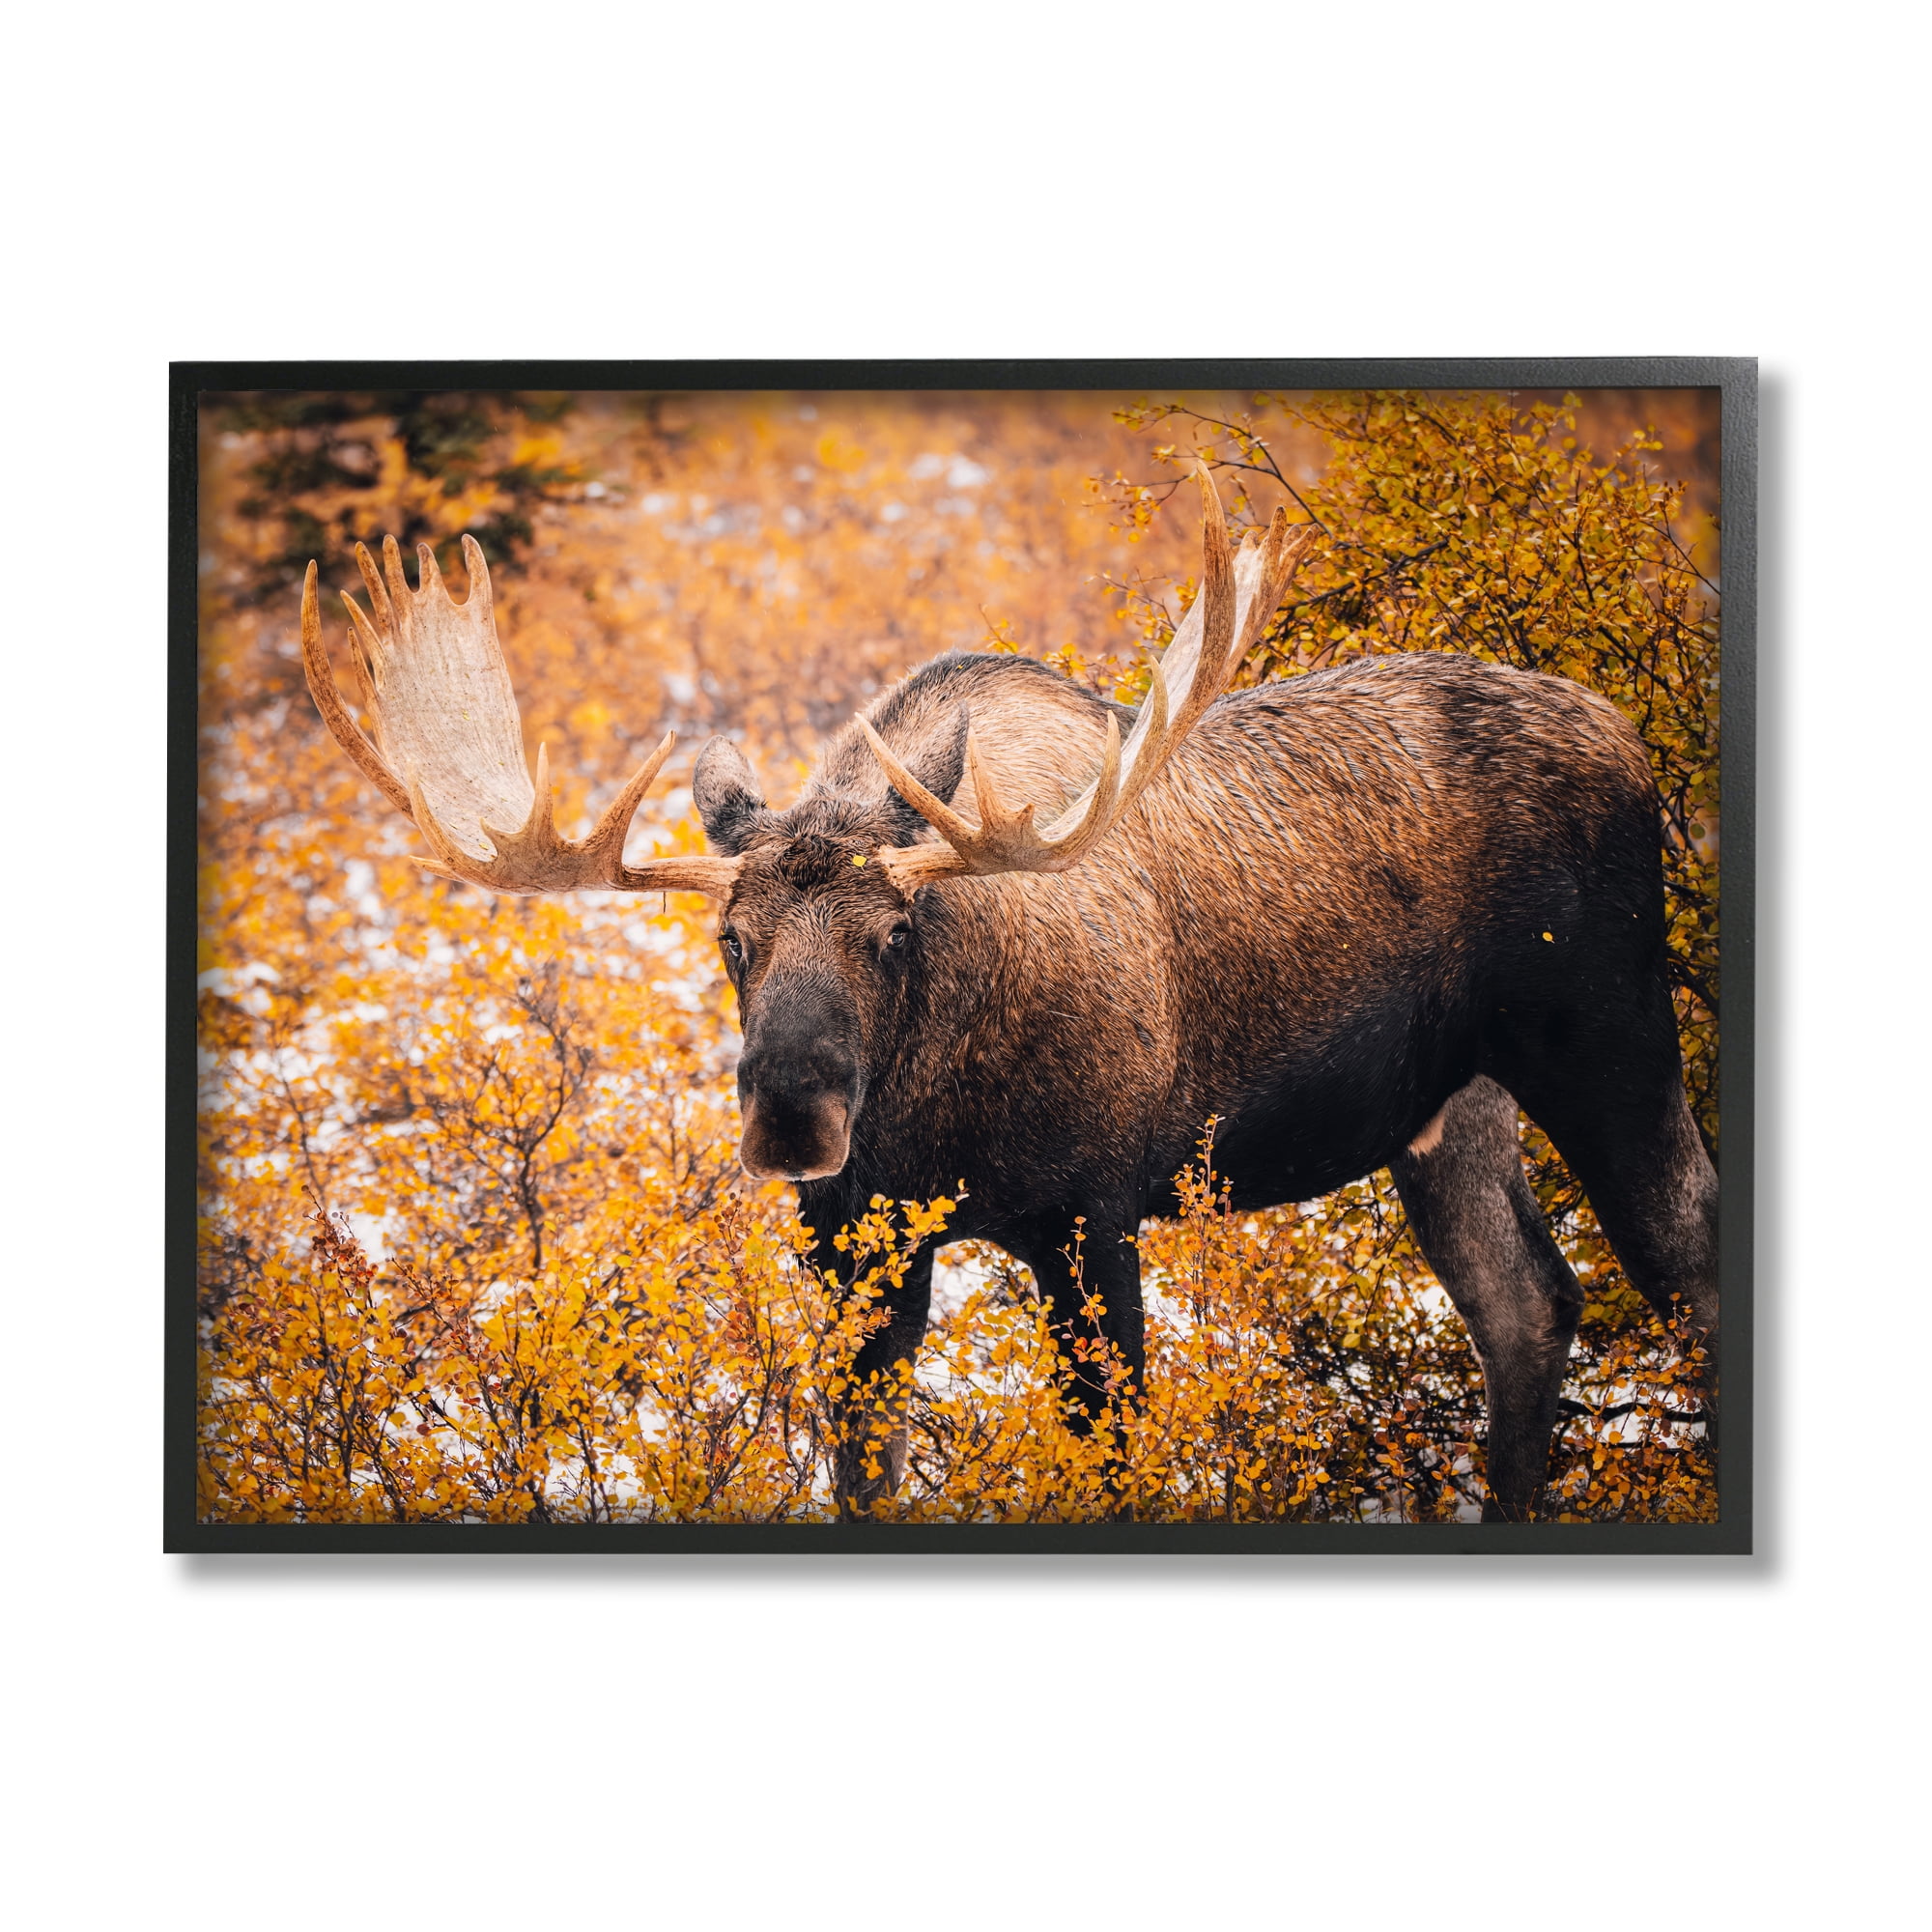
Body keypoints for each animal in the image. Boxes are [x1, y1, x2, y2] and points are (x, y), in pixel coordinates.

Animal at [300, 470, 1719, 1521]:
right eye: (732, 938)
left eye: (893, 931)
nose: (792, 1115)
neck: (932, 1121)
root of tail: (1628, 731)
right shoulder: (853, 1251)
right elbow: (864, 1474)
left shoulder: (1094, 1216)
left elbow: (1112, 1458)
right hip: (1448, 1107)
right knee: (1526, 1305)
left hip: (1606, 1028)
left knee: (1683, 1253)